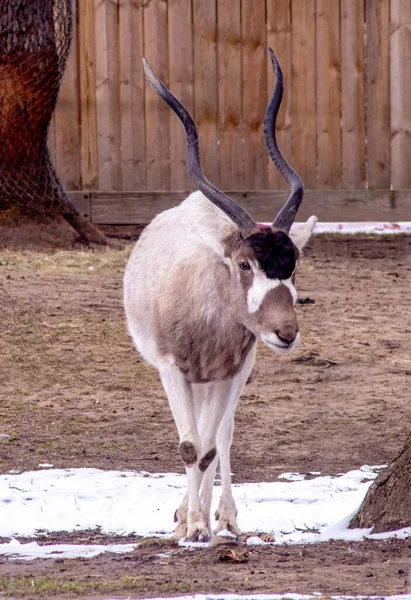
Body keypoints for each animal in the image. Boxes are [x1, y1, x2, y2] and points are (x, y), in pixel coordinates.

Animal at [124, 49, 318, 540]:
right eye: (245, 264)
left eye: (293, 264)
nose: (285, 332)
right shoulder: (172, 368)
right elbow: (189, 447)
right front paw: (189, 526)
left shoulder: (232, 371)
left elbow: (211, 447)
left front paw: (203, 523)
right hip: (193, 379)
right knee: (198, 437)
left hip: (225, 377)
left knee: (223, 435)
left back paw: (224, 514)